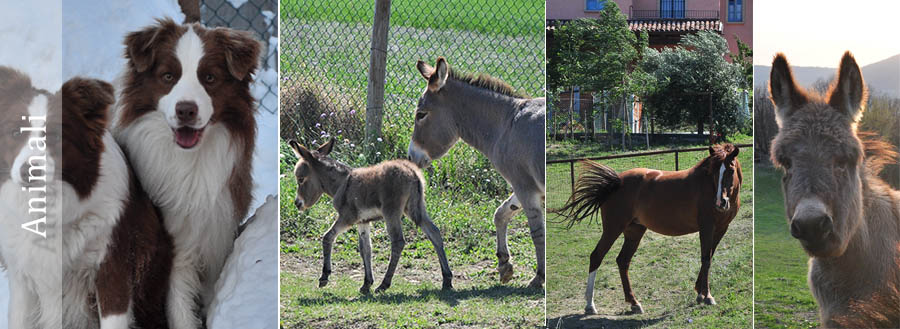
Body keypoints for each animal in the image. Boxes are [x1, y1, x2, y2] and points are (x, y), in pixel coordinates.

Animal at [110, 18, 260, 328]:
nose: (186, 110)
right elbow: (179, 308)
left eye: (210, 78)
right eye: (168, 76)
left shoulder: (217, 232)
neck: (190, 163)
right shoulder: (174, 246)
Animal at [290, 138, 454, 292]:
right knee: (434, 232)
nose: (297, 204)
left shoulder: (347, 218)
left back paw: (384, 284)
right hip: (415, 208)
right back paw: (447, 279)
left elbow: (327, 237)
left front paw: (324, 276)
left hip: (391, 212)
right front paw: (366, 283)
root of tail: (412, 171)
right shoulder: (363, 221)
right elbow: (366, 249)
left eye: (300, 179)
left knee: (398, 242)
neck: (341, 184)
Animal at [556, 144, 740, 312]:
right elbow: (706, 259)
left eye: (730, 170)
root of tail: (615, 182)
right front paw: (707, 295)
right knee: (596, 257)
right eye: (713, 172)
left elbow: (709, 256)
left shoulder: (721, 228)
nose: (720, 202)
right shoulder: (706, 227)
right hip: (613, 229)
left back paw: (634, 302)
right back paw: (590, 305)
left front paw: (699, 292)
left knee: (623, 261)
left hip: (634, 231)